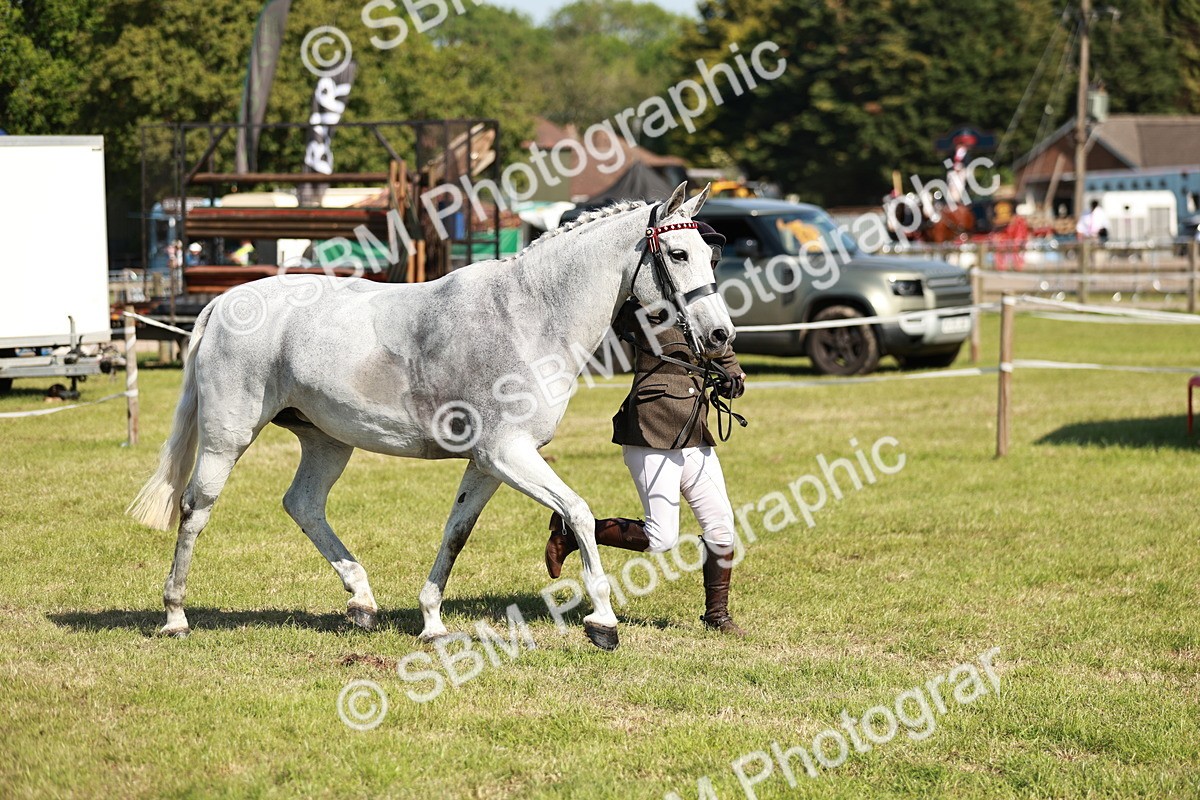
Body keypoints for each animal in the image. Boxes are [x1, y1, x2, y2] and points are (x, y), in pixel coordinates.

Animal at [127, 183, 733, 651]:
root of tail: (221, 303)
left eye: (710, 257)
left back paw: (362, 603)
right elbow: (579, 513)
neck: (531, 316)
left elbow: (456, 533)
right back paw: (175, 616)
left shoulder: (488, 464)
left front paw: (432, 621)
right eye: (677, 255)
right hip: (226, 439)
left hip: (327, 440)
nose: (721, 335)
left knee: (303, 505)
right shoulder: (507, 454)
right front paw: (602, 622)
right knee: (196, 508)